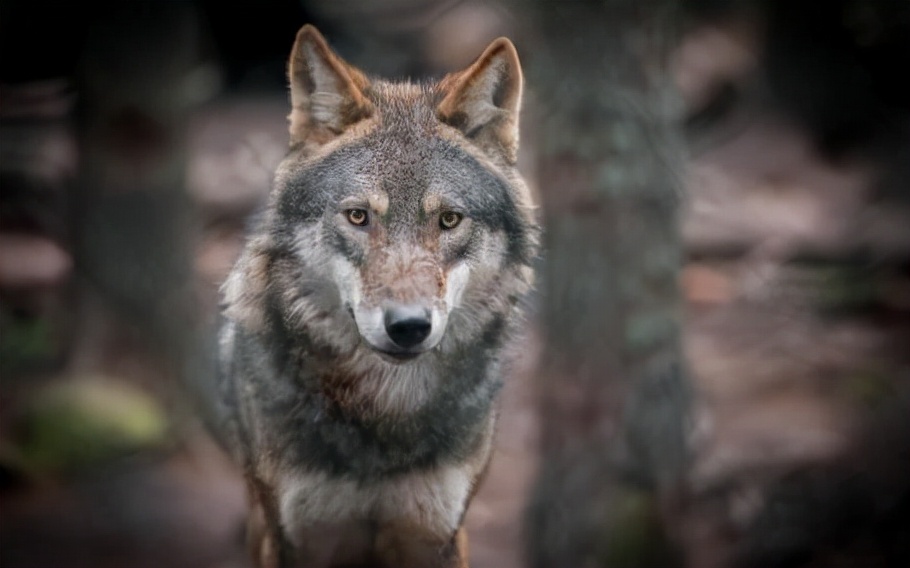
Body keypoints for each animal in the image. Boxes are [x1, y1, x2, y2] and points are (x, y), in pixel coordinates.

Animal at [212, 25, 540, 568]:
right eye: (358, 216)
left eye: (449, 219)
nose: (408, 327)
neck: (383, 413)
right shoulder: (295, 539)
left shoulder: (436, 536)